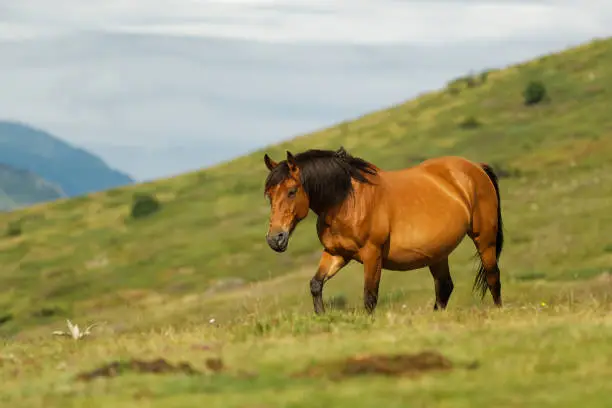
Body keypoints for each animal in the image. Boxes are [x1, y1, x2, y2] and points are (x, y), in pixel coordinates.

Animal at [260, 147, 504, 316]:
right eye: (269, 194)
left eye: (292, 191)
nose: (275, 239)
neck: (347, 201)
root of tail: (477, 167)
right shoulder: (336, 254)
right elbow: (315, 285)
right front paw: (321, 317)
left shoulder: (372, 255)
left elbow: (370, 297)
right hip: (437, 252)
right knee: (444, 286)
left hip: (484, 238)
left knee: (492, 276)